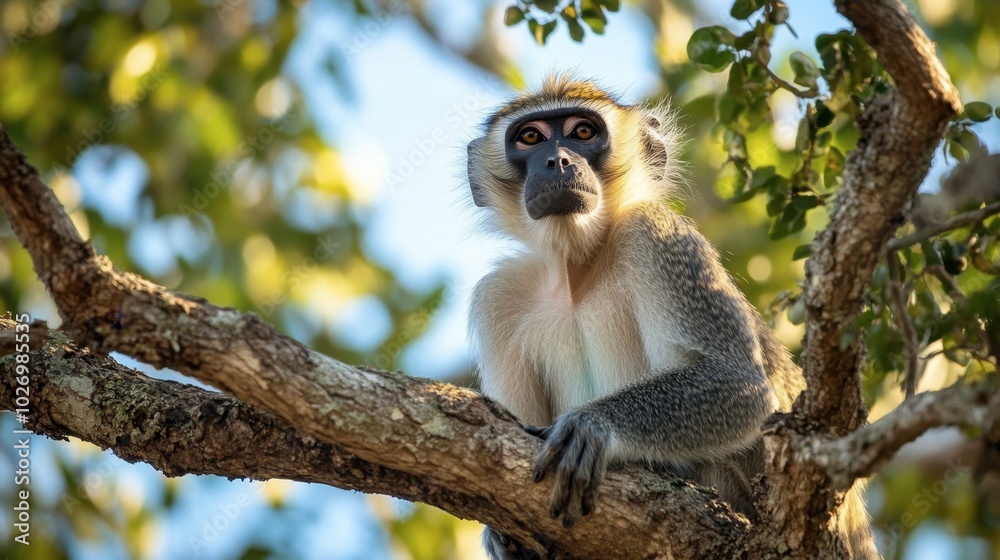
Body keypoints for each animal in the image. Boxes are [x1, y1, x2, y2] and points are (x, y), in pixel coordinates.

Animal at [465, 75, 878, 560]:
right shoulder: (498, 297)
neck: (577, 275)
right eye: (530, 137)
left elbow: (738, 384)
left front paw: (594, 425)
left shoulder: (655, 233)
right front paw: (505, 535)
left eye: (582, 132)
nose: (558, 160)